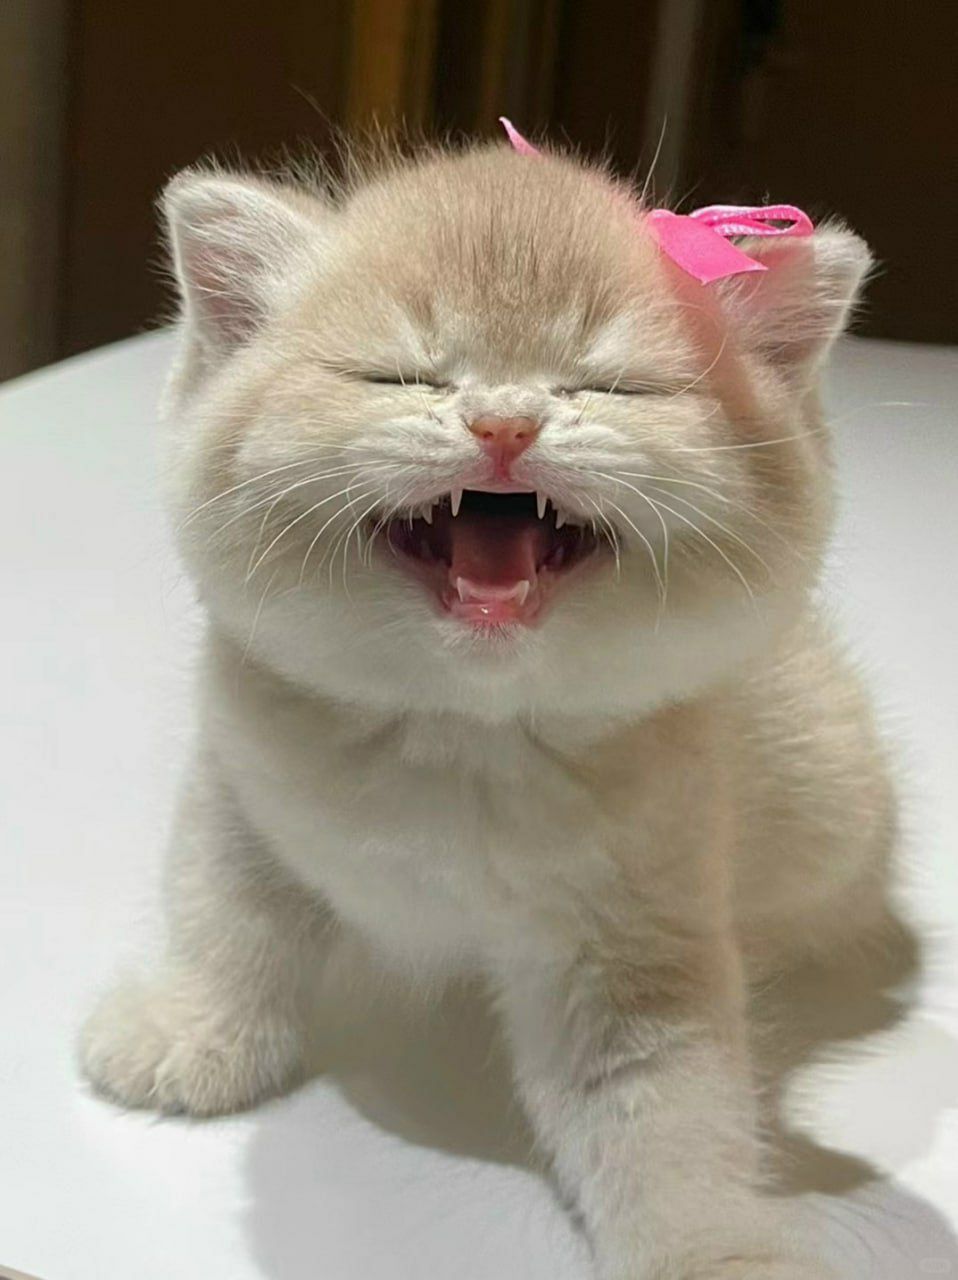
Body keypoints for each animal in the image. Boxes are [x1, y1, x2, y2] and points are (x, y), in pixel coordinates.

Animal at [79, 136, 898, 1279]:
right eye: (400, 373)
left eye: (610, 383)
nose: (503, 421)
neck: (455, 728)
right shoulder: (239, 791)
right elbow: (223, 918)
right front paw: (192, 1033)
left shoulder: (635, 939)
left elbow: (667, 1108)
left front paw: (709, 1246)